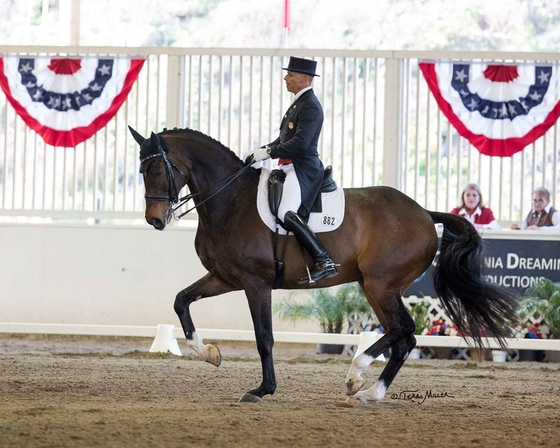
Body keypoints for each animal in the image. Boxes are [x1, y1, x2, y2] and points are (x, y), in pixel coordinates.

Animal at [129, 127, 520, 406]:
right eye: (141, 169)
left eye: (156, 168)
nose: (155, 220)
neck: (229, 201)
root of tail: (425, 213)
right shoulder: (225, 277)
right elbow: (181, 301)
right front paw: (210, 353)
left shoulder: (256, 283)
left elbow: (264, 338)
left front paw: (262, 389)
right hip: (376, 287)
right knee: (403, 337)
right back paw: (370, 391)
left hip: (381, 284)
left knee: (403, 329)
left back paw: (356, 375)